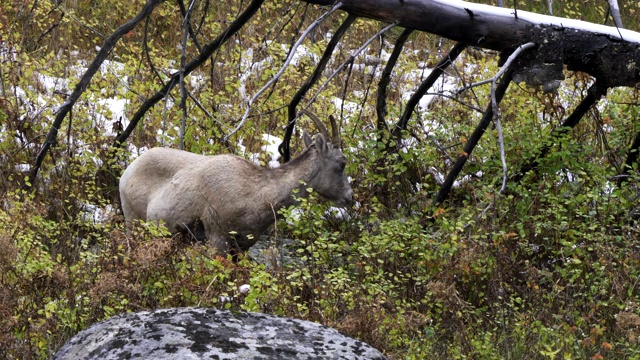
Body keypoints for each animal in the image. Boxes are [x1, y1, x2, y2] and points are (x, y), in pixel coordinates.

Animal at [117, 114, 352, 255]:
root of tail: (126, 172)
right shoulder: (217, 238)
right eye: (342, 163)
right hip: (133, 222)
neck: (256, 196)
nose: (349, 197)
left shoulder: (243, 246)